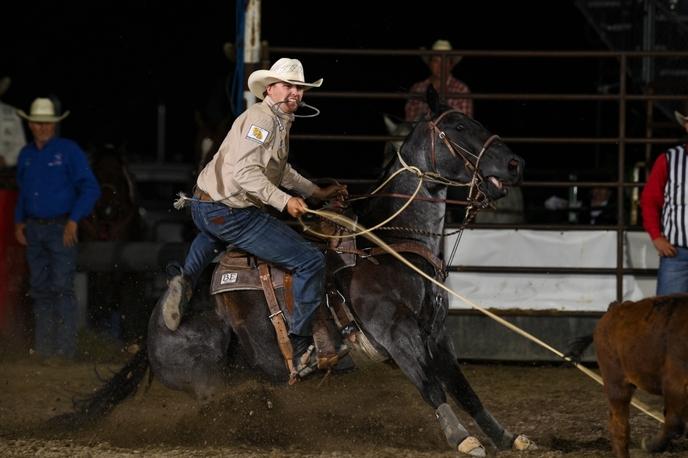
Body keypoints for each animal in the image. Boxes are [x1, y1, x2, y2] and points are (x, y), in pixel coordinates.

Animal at [57, 88, 532, 454]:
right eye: (459, 128)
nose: (514, 164)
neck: (388, 245)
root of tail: (154, 324)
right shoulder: (398, 334)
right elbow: (431, 386)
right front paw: (462, 440)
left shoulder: (436, 336)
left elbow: (465, 389)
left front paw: (507, 437)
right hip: (208, 374)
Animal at [568, 296, 688, 456]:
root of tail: (614, 308)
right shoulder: (674, 383)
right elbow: (675, 423)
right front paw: (648, 444)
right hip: (615, 382)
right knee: (619, 425)